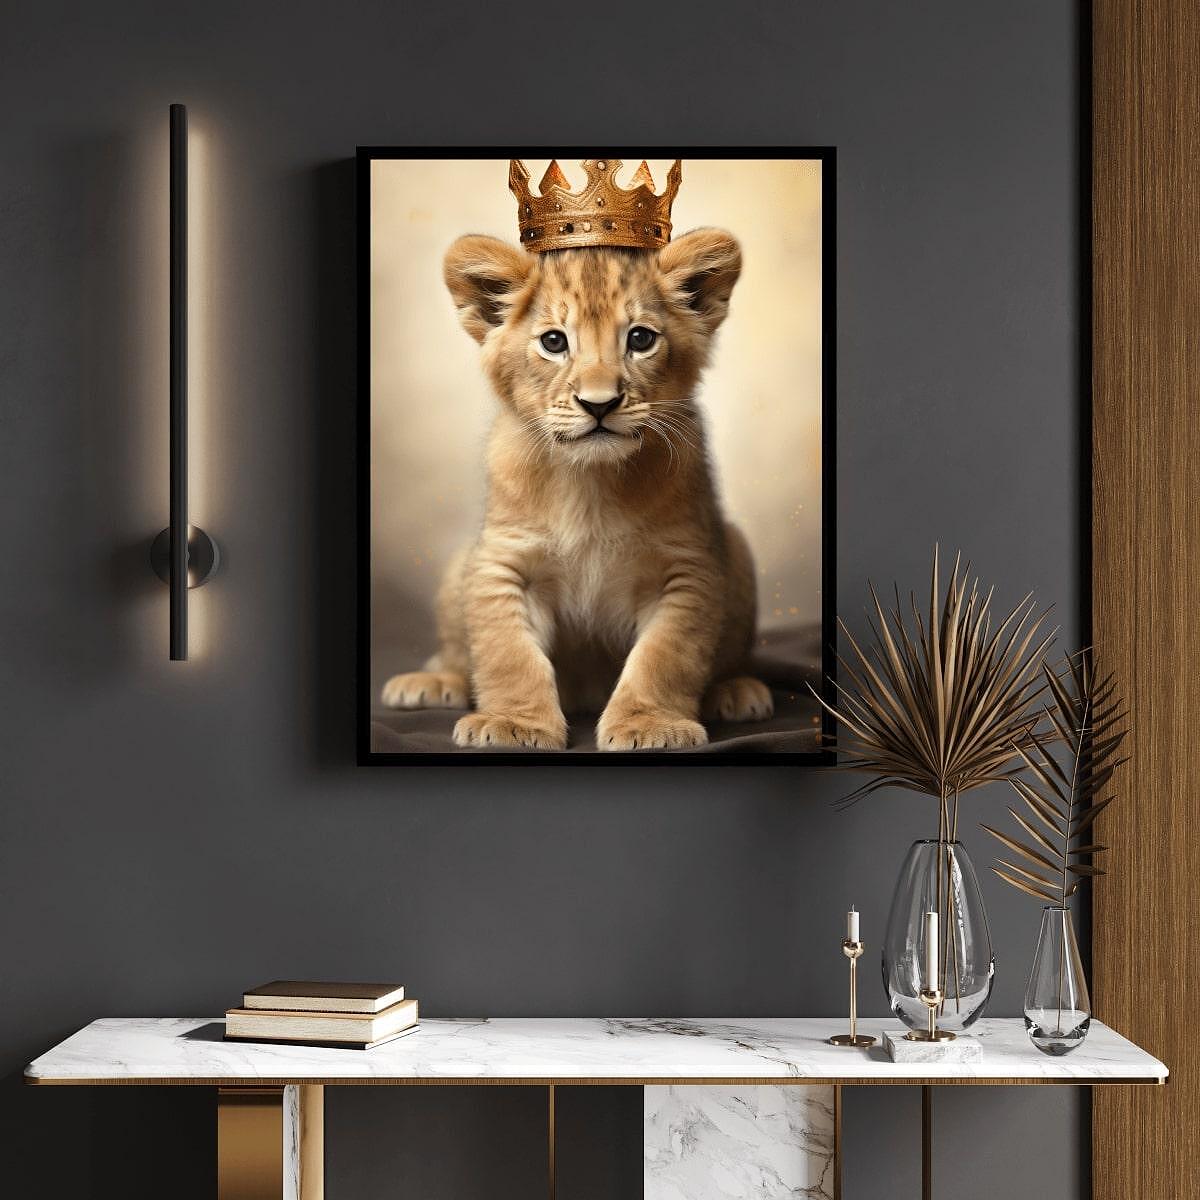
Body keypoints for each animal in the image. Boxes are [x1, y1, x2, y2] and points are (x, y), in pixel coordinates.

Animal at [380, 228, 774, 750]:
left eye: (640, 338)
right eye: (553, 341)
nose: (599, 404)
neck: (590, 481)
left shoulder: (687, 567)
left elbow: (664, 657)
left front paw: (649, 725)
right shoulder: (503, 561)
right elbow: (509, 655)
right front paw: (515, 724)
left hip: (737, 547)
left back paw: (736, 690)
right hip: (458, 566)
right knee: (457, 653)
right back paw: (431, 682)